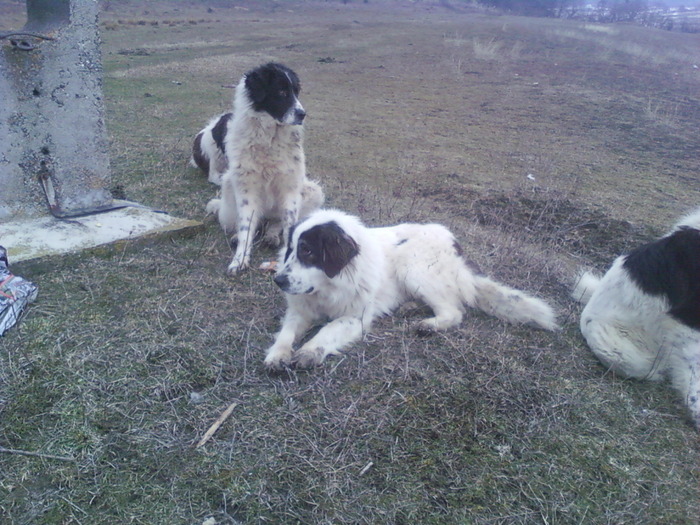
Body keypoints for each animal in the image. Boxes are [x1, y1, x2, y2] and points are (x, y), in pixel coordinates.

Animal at [266, 208, 560, 368]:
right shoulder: (300, 311)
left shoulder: (354, 318)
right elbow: (287, 332)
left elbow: (328, 330)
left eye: (308, 251)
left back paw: (430, 325)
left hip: (414, 269)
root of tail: (455, 245)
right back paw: (409, 307)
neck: (330, 285)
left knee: (454, 311)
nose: (278, 281)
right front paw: (278, 354)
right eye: (290, 249)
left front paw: (309, 351)